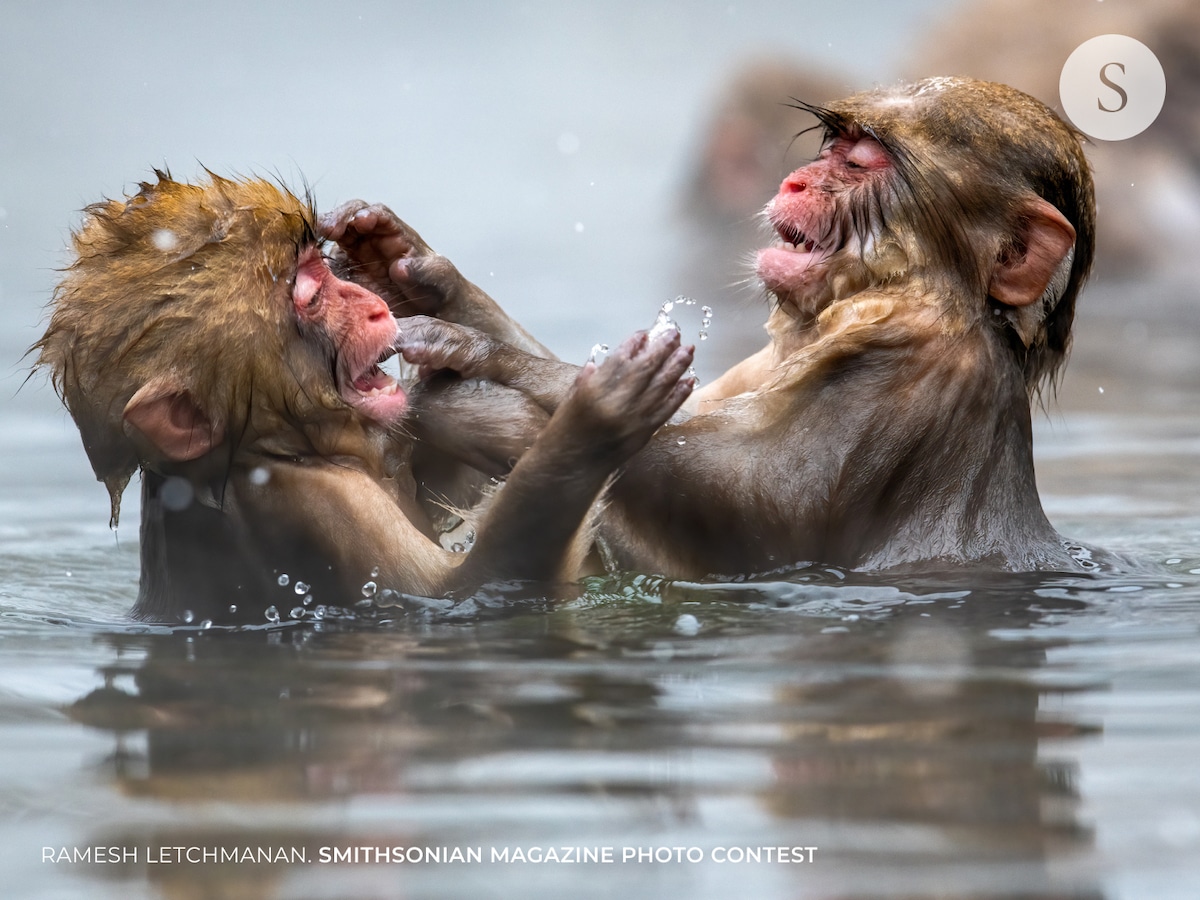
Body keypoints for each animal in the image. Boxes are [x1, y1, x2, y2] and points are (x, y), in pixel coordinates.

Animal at [35, 170, 696, 619]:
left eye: (322, 269)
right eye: (308, 297)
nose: (374, 306)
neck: (285, 451)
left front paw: (399, 252)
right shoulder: (318, 504)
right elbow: (465, 592)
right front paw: (600, 418)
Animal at [328, 81, 1099, 580]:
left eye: (860, 162)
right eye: (834, 144)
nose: (795, 182)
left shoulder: (920, 367)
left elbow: (767, 505)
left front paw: (490, 396)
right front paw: (406, 265)